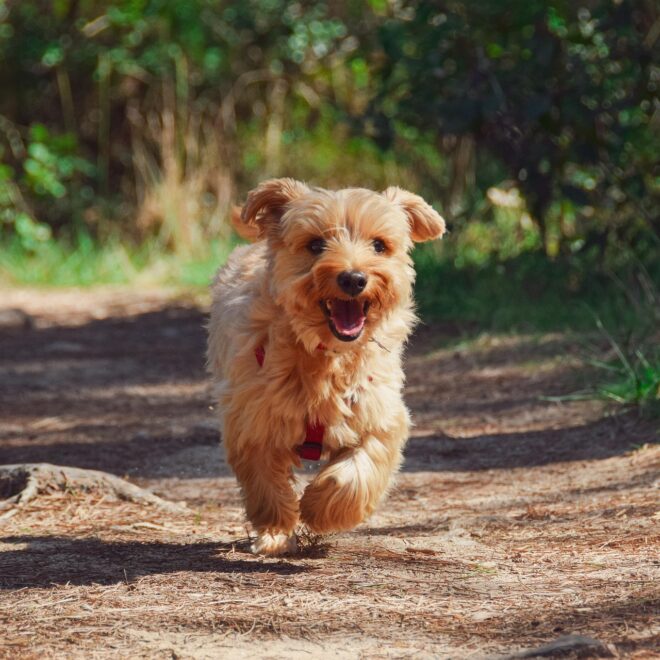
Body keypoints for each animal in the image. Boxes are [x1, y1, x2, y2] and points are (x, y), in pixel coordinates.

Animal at [208, 178, 444, 556]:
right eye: (315, 244)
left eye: (379, 245)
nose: (354, 278)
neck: (326, 356)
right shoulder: (252, 420)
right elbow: (266, 483)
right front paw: (276, 530)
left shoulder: (379, 414)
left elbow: (358, 471)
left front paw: (320, 509)